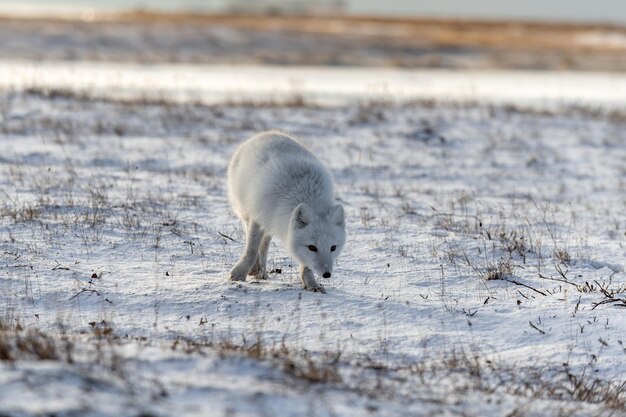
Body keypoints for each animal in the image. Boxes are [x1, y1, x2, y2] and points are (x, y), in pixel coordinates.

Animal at [225, 130, 344, 292]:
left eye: (333, 248)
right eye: (312, 247)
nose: (326, 274)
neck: (306, 194)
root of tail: (268, 132)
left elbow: (306, 266)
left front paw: (312, 284)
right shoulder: (257, 217)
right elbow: (251, 250)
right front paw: (239, 274)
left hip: (268, 221)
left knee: (264, 245)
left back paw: (261, 271)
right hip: (250, 213)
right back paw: (255, 269)